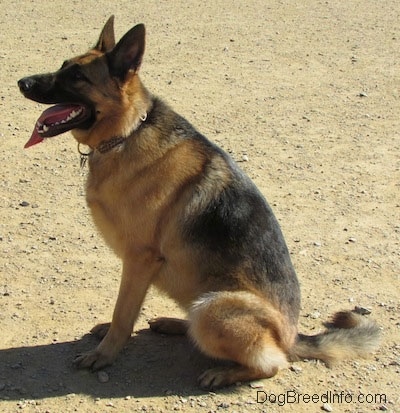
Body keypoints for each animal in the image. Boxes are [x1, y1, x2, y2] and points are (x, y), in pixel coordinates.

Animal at [18, 16, 382, 388]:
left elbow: (123, 313)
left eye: (78, 76)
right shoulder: (139, 266)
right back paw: (175, 324)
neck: (127, 132)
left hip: (213, 308)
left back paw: (223, 372)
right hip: (197, 299)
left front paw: (104, 354)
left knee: (273, 363)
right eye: (63, 65)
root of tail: (292, 336)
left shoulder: (139, 258)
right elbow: (127, 309)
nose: (22, 82)